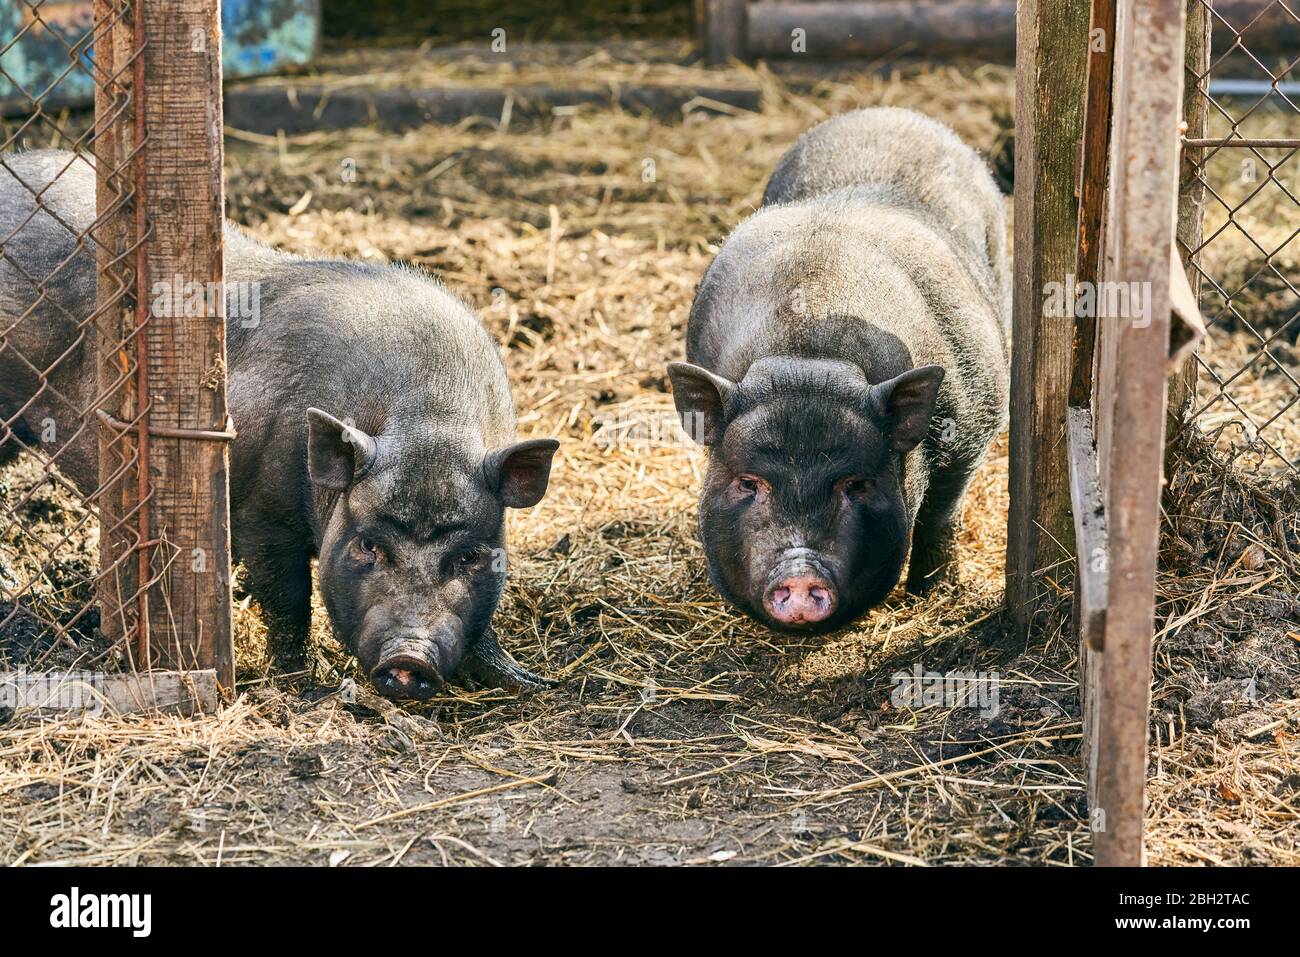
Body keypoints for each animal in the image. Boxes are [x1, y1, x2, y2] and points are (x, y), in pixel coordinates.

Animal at [0, 151, 553, 702]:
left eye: (469, 556)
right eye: (369, 545)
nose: (409, 657)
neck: (431, 421)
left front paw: (531, 679)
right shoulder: (262, 511)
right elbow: (288, 599)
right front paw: (301, 681)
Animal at [665, 108, 1008, 631]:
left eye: (855, 484)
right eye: (749, 482)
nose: (801, 576)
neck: (808, 353)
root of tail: (886, 112)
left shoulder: (975, 422)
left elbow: (940, 517)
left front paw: (932, 594)